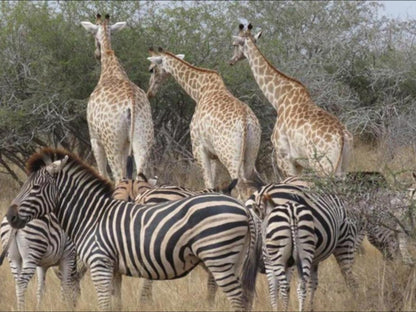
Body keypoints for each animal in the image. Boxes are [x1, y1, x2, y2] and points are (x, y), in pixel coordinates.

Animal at [6, 149, 260, 312]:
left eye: (35, 187)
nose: (9, 216)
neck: (91, 217)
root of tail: (242, 208)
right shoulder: (114, 268)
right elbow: (116, 304)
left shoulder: (99, 263)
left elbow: (104, 304)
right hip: (234, 259)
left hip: (218, 257)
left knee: (237, 298)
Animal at [80, 13, 154, 182]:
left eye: (93, 35)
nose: (96, 54)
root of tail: (131, 105)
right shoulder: (126, 142)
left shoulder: (94, 139)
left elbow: (102, 173)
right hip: (143, 138)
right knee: (140, 175)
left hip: (111, 143)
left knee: (119, 176)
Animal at [148, 48, 262, 200]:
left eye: (152, 69)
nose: (149, 93)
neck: (199, 91)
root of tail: (245, 121)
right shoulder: (214, 155)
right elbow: (213, 184)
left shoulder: (198, 148)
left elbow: (208, 183)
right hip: (250, 152)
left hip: (230, 156)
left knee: (242, 189)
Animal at [229, 22, 352, 177]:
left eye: (234, 44)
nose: (231, 61)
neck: (279, 99)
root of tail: (342, 137)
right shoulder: (298, 163)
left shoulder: (284, 157)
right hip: (343, 167)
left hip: (323, 166)